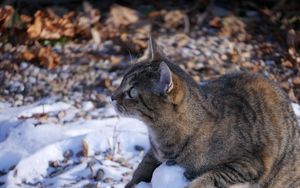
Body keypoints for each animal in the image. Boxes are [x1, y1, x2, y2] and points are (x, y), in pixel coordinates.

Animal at [111, 35, 300, 188]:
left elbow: (209, 177)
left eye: (131, 92)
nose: (112, 96)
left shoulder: (249, 164)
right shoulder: (153, 154)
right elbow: (141, 169)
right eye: (122, 81)